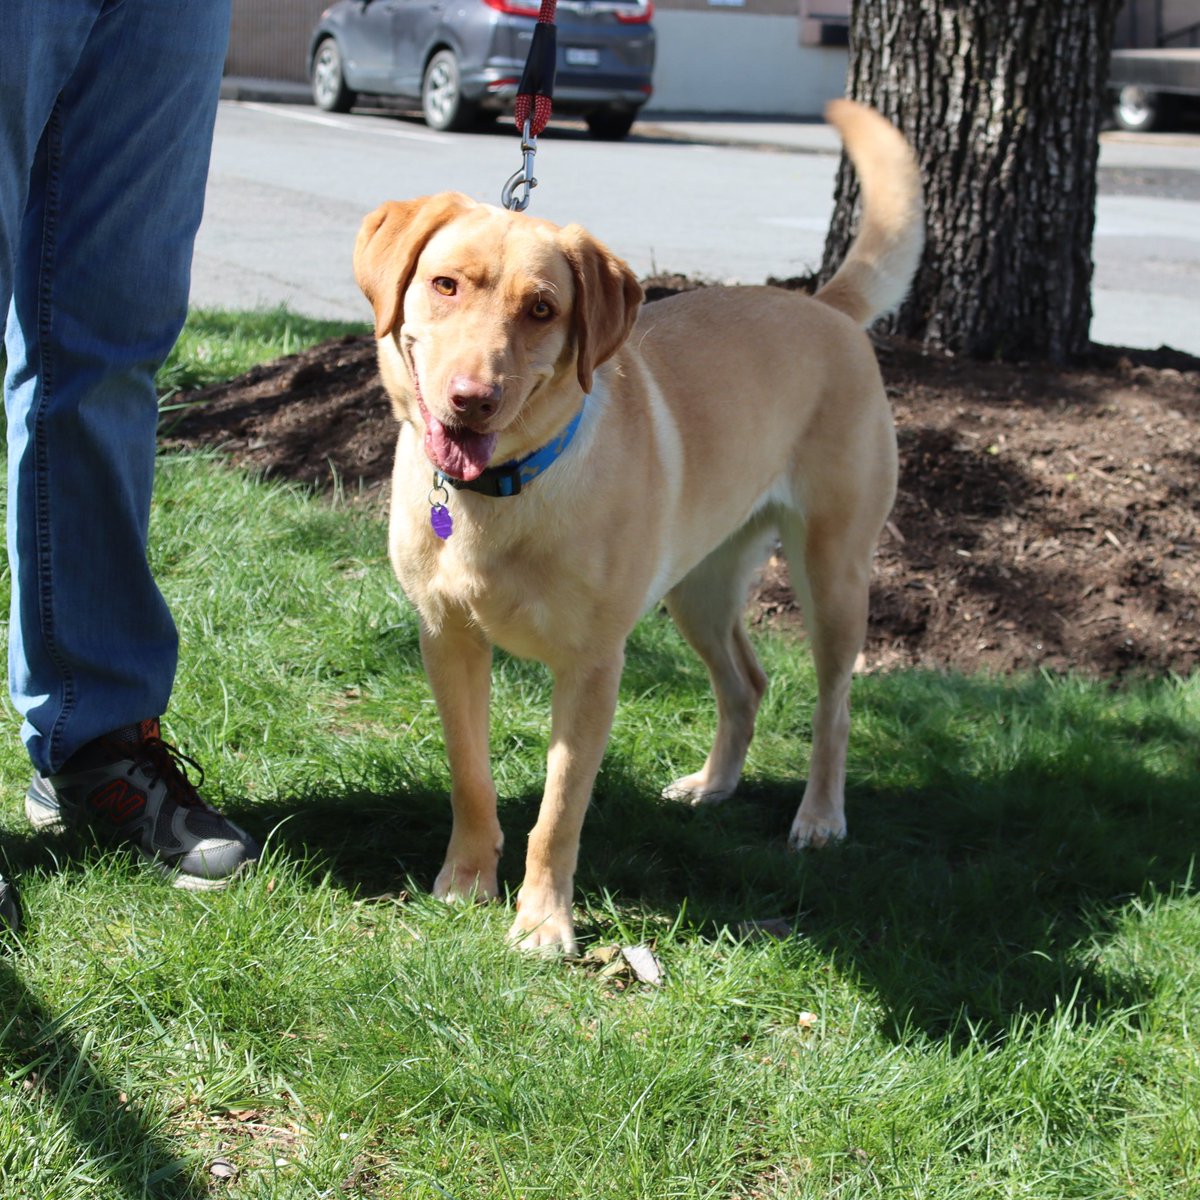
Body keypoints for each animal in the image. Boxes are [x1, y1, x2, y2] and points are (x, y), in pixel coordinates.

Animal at [350, 98, 921, 950]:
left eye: (542, 309)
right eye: (445, 284)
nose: (471, 399)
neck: (503, 492)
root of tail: (824, 307)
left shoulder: (593, 667)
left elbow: (559, 811)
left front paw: (543, 923)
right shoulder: (447, 639)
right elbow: (470, 775)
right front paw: (465, 881)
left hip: (833, 573)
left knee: (834, 706)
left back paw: (820, 816)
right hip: (700, 587)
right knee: (746, 681)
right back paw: (713, 786)